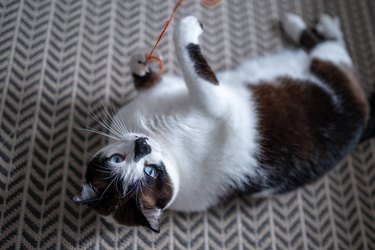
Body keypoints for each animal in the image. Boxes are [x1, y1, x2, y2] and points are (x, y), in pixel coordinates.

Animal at [72, 13, 374, 232]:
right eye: (150, 173)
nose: (142, 147)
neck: (161, 140)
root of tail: (362, 124)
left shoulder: (166, 92)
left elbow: (149, 76)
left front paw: (141, 60)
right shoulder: (212, 101)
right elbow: (190, 58)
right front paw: (188, 25)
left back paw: (302, 23)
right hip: (332, 66)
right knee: (332, 47)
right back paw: (312, 24)